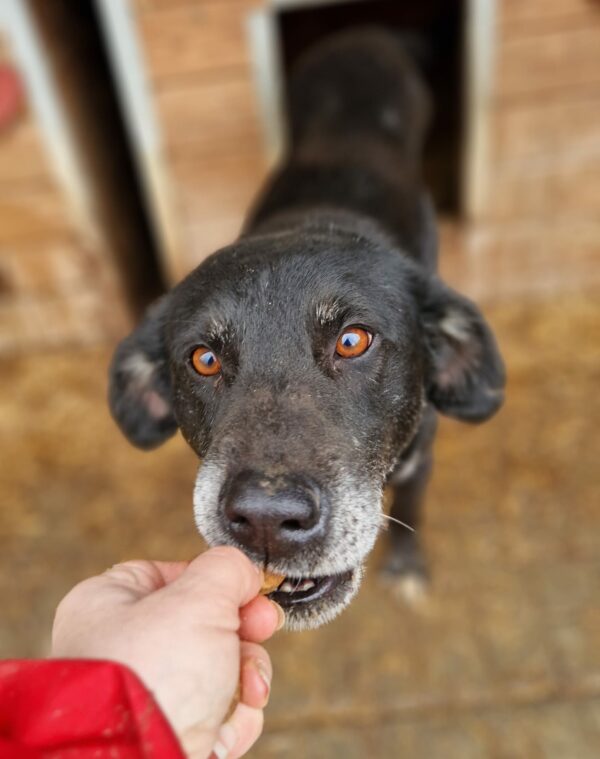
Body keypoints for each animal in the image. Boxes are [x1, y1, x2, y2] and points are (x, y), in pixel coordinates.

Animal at [109, 29, 506, 628]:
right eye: (204, 358)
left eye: (353, 340)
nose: (267, 520)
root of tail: (364, 34)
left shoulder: (421, 459)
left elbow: (412, 507)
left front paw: (407, 568)